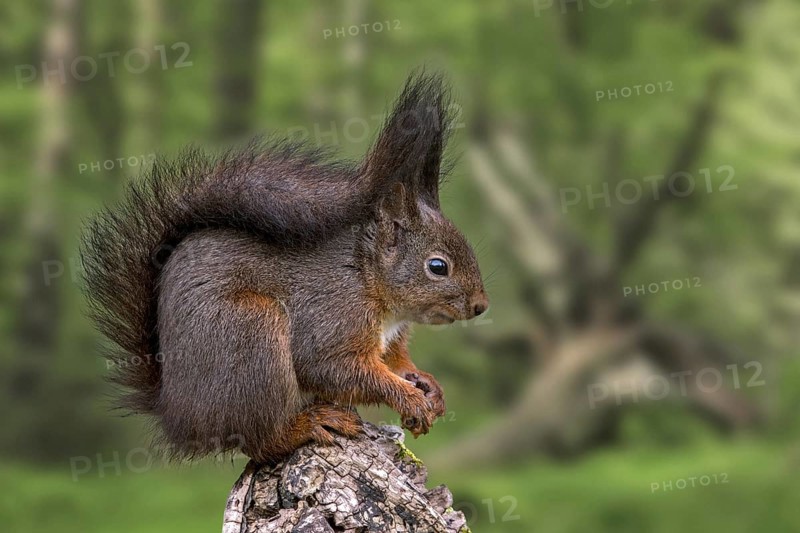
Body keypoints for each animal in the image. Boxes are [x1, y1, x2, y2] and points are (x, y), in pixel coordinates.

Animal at [81, 72, 489, 464]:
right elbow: (333, 368)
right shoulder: (332, 314)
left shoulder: (389, 340)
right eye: (438, 266)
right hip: (251, 332)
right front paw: (407, 397)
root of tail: (178, 417)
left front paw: (427, 385)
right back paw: (309, 424)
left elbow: (394, 361)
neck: (366, 276)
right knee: (261, 441)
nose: (480, 306)